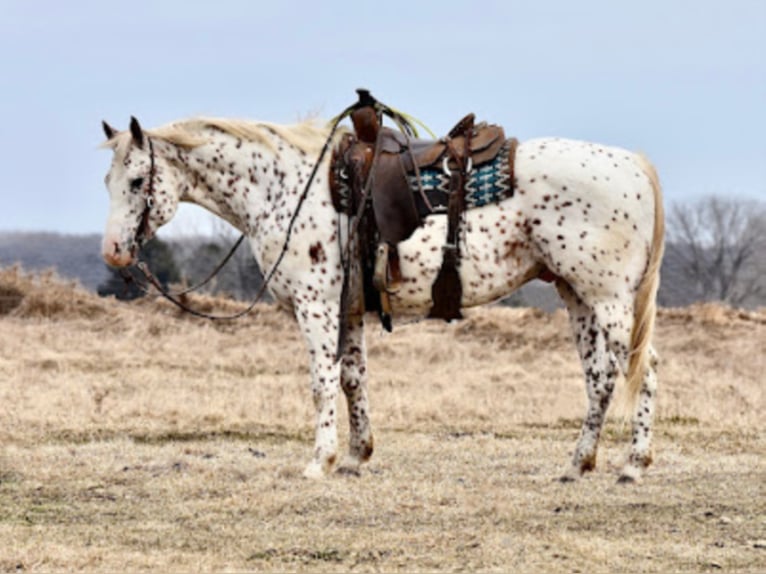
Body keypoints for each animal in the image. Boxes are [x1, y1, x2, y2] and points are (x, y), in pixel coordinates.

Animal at [102, 99, 664, 486]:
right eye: (109, 181)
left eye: (136, 182)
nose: (114, 252)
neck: (284, 187)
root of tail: (634, 166)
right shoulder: (348, 310)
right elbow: (353, 379)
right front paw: (356, 456)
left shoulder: (315, 306)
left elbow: (322, 381)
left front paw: (320, 461)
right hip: (577, 295)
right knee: (599, 377)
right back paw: (577, 464)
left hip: (610, 300)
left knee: (640, 370)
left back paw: (634, 465)